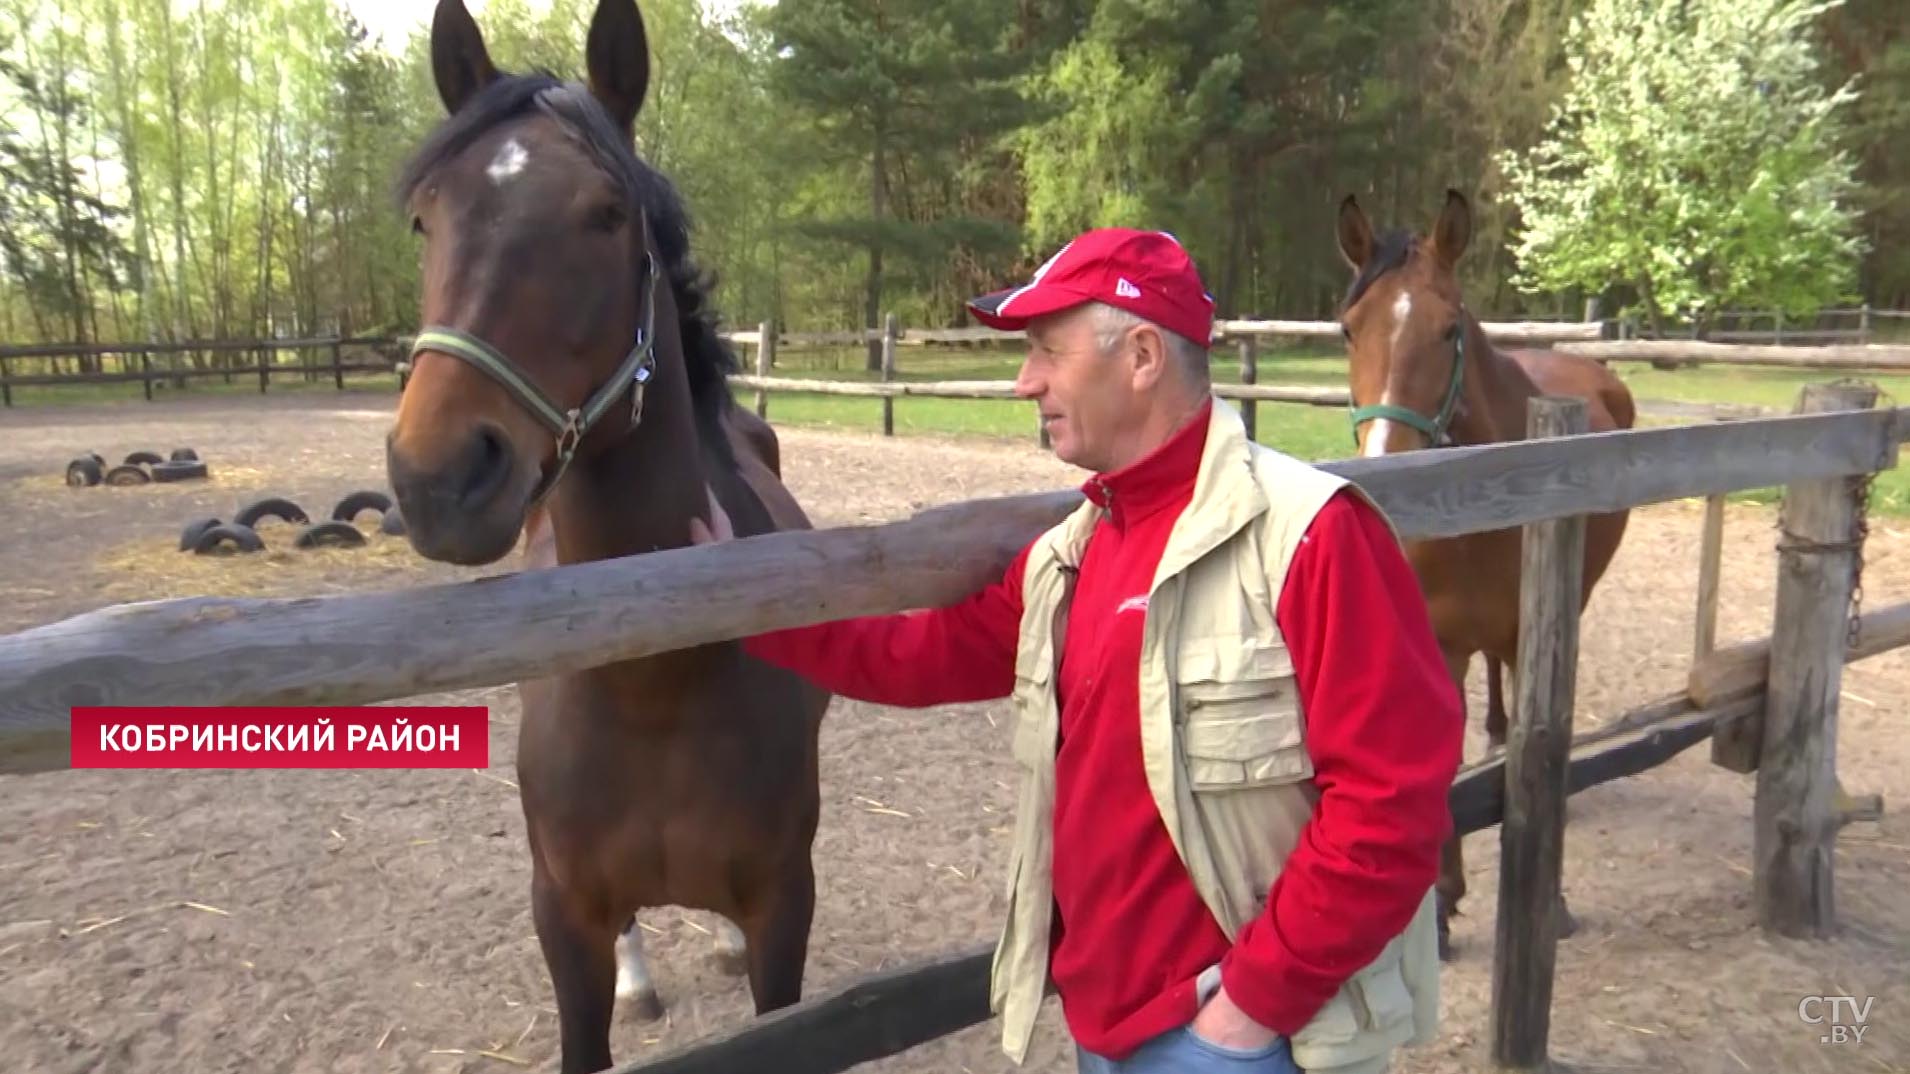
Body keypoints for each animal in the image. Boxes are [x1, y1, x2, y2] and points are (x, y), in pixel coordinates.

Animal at [385, 2, 828, 1070]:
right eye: (426, 216)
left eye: (604, 213)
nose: (438, 476)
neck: (654, 689)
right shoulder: (562, 919)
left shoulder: (785, 910)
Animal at [1337, 188, 1634, 955]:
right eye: (1349, 330)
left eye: (1448, 331)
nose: (1387, 472)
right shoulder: (1441, 645)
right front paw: (1442, 904)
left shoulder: (1537, 633)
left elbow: (1541, 745)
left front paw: (1550, 900)